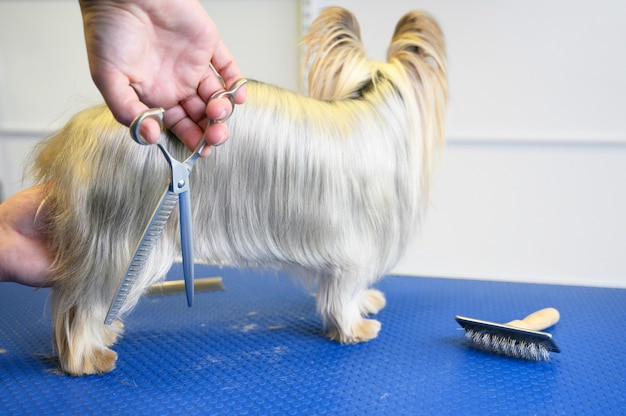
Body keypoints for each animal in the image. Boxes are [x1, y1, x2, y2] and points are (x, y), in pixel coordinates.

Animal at [29, 7, 446, 376]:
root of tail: (74, 138)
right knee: (81, 306)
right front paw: (355, 327)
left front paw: (367, 302)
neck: (374, 106)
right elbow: (341, 295)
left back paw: (107, 332)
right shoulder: (352, 249)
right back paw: (87, 359)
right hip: (126, 237)